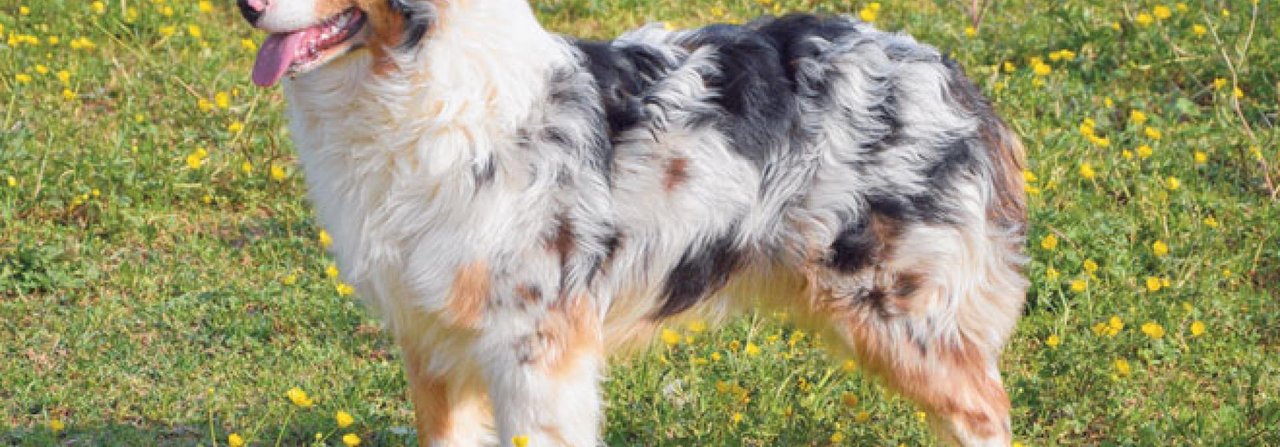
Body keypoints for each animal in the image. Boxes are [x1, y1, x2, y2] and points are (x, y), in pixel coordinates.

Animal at [235, 1, 1024, 443]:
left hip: (900, 308)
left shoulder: (534, 344)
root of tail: (946, 72)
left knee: (985, 409)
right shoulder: (431, 338)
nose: (245, 5)